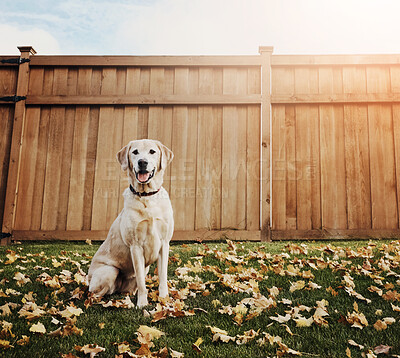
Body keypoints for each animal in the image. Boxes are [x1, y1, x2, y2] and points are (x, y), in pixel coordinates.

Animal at [88, 138, 173, 306]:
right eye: (135, 152)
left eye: (152, 151)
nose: (142, 162)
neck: (147, 196)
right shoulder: (135, 246)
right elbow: (141, 282)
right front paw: (142, 304)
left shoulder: (164, 244)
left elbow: (162, 277)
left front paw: (164, 299)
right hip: (109, 271)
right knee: (94, 294)